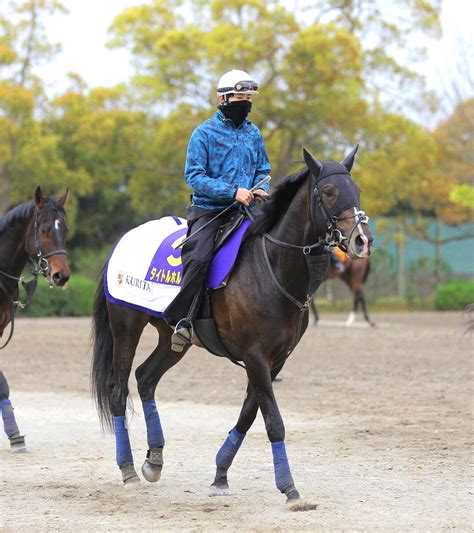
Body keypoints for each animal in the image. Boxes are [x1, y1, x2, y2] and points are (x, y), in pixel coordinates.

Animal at [91, 143, 374, 500]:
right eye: (328, 191)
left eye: (358, 190)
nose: (362, 240)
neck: (270, 266)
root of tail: (123, 240)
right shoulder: (255, 355)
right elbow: (273, 420)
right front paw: (289, 487)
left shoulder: (276, 360)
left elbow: (249, 415)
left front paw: (221, 474)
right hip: (126, 326)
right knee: (118, 390)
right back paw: (127, 468)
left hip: (172, 338)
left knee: (145, 378)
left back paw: (154, 460)